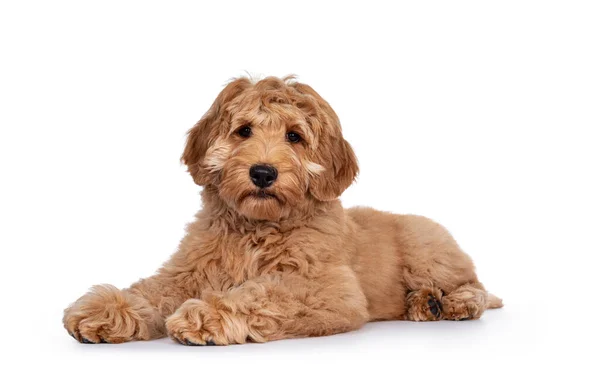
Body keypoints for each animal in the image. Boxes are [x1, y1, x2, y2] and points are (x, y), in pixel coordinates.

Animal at [62, 74, 502, 346]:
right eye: (243, 131)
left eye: (294, 136)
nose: (262, 172)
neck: (256, 229)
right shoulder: (189, 271)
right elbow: (152, 289)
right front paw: (105, 310)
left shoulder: (328, 289)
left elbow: (263, 291)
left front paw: (209, 314)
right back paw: (425, 303)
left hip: (428, 254)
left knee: (477, 286)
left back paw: (449, 303)